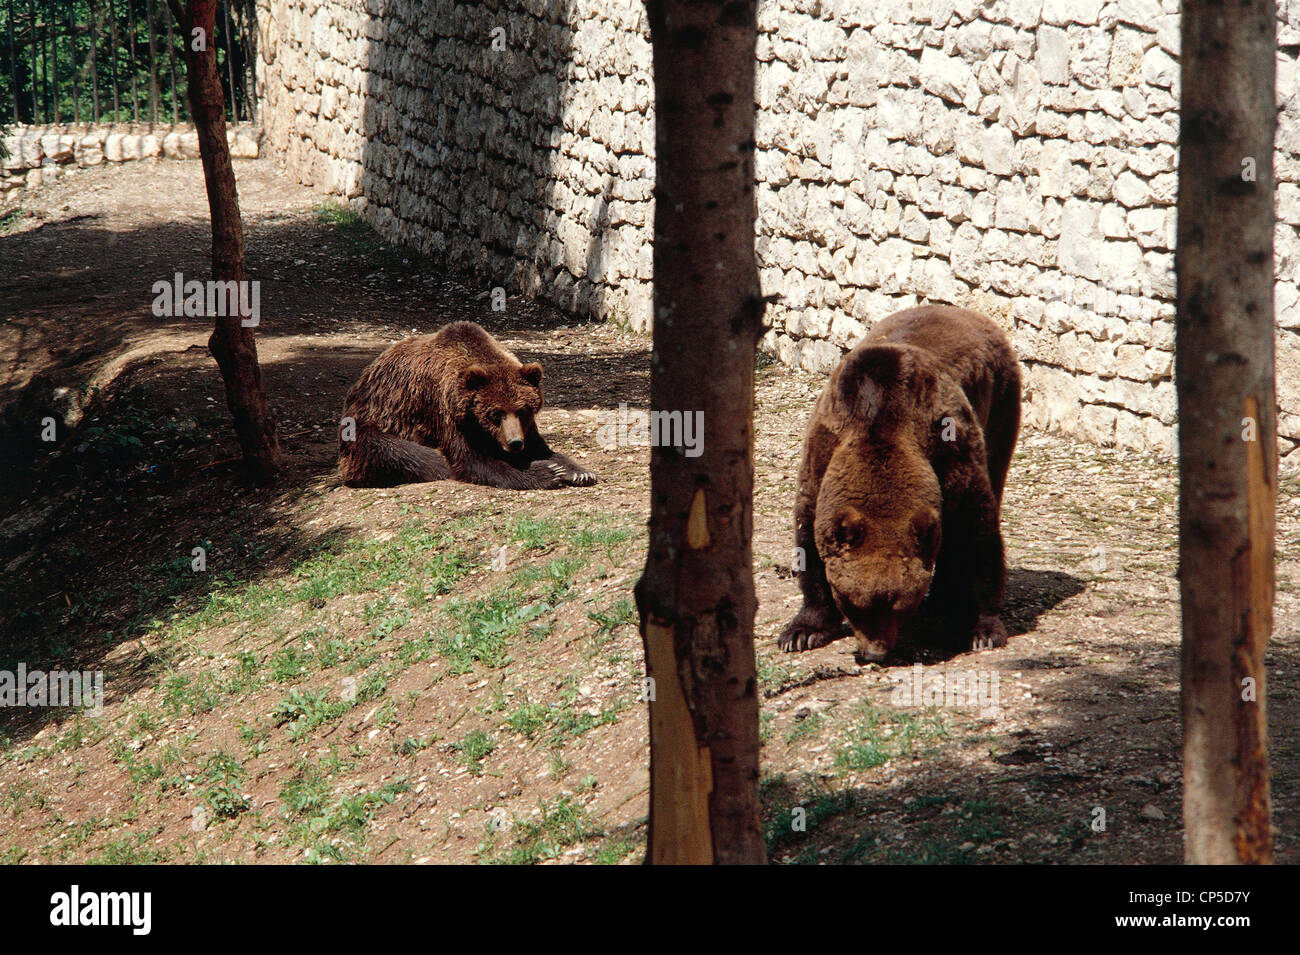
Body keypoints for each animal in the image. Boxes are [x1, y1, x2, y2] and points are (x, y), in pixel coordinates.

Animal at [335, 323, 598, 493]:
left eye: (522, 411)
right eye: (495, 414)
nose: (514, 443)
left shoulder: (524, 426)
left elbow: (541, 447)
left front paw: (578, 470)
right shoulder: (444, 411)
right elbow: (472, 460)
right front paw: (547, 472)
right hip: (367, 425)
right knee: (407, 453)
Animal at [774, 306, 1019, 665]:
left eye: (898, 605)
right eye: (853, 603)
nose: (875, 652)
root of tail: (963, 311)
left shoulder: (949, 443)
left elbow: (976, 530)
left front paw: (981, 630)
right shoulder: (823, 448)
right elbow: (808, 538)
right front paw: (802, 632)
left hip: (1001, 398)